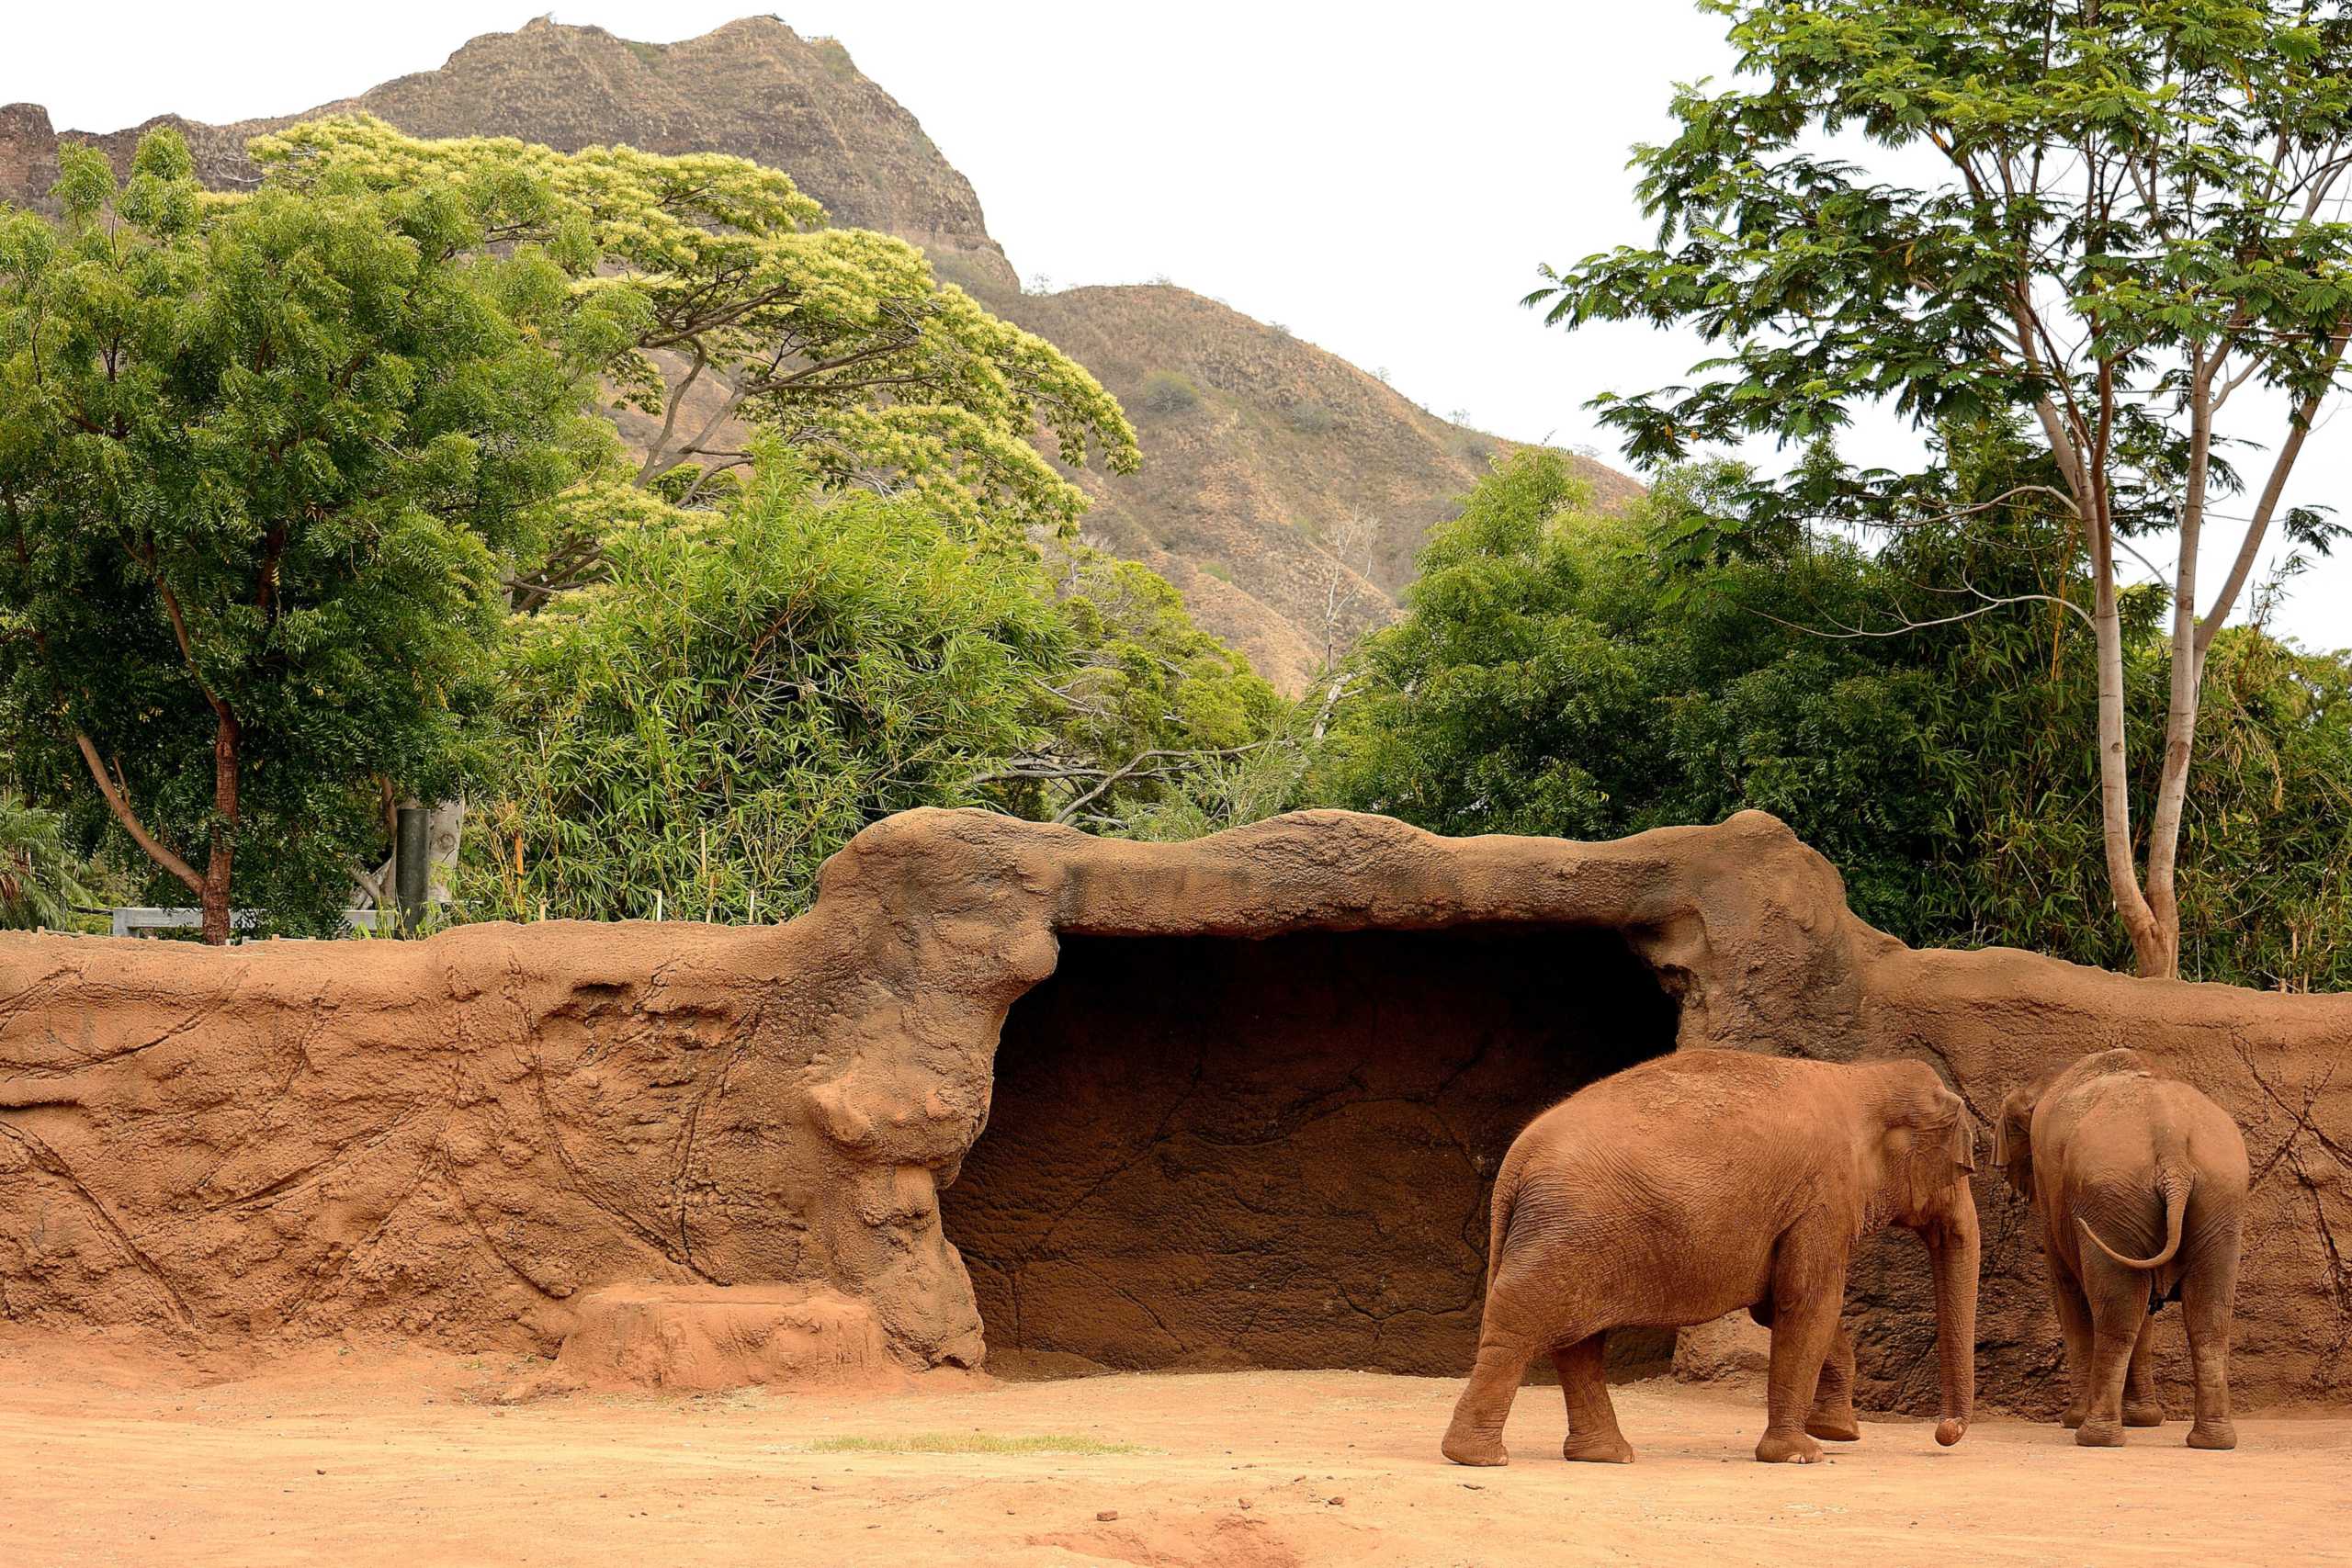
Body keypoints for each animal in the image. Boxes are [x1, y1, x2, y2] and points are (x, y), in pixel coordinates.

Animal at [1441, 1049, 1979, 1467]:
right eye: (1963, 1168)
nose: (1945, 1432)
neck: (1862, 1076)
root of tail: (1514, 1163)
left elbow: (1783, 1308)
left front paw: (1837, 1432)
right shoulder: (1823, 1197)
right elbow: (1808, 1304)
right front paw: (1801, 1454)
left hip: (1570, 1236)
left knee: (1577, 1342)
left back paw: (1606, 1456)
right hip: (1565, 1231)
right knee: (1521, 1327)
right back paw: (1479, 1458)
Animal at [1993, 1048, 2249, 1450]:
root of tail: (2172, 1149)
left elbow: (2068, 1293)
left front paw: (2074, 1420)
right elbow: (2146, 1304)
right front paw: (2144, 1421)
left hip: (2113, 1196)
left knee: (2117, 1312)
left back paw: (2091, 1435)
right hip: (2219, 1193)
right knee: (2207, 1315)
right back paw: (2211, 1442)